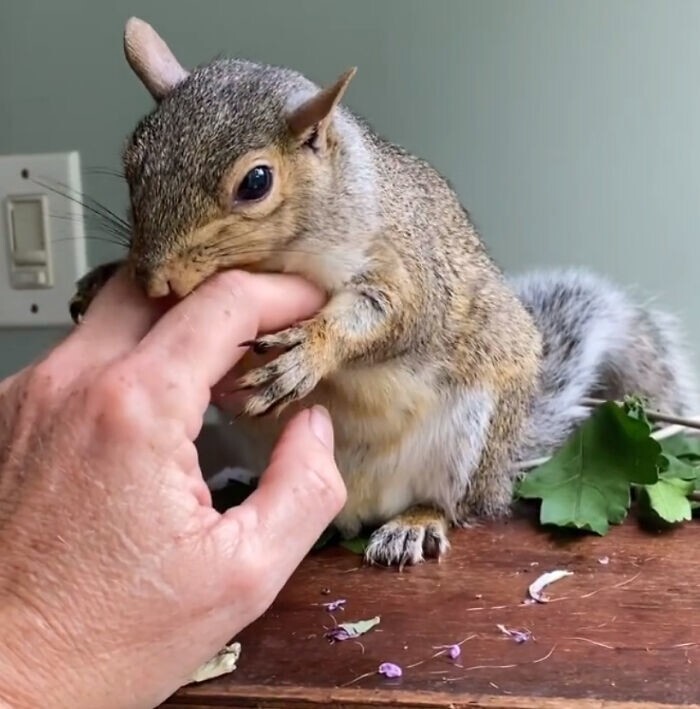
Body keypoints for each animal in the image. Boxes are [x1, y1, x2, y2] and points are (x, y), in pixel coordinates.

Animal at [72, 16, 700, 568]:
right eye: (131, 161)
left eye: (256, 182)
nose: (155, 280)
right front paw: (97, 281)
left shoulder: (409, 266)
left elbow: (393, 315)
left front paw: (309, 351)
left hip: (467, 443)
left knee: (453, 505)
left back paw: (415, 524)